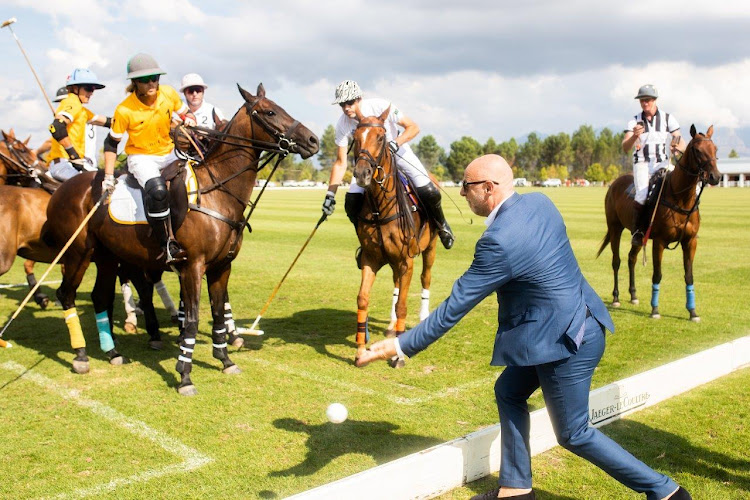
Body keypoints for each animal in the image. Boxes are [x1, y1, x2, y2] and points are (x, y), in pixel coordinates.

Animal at [43, 84, 320, 392]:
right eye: (270, 112)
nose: (313, 140)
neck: (218, 191)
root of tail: (60, 190)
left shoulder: (222, 267)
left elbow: (218, 313)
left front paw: (226, 360)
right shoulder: (192, 266)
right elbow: (192, 318)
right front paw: (185, 374)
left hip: (107, 256)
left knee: (100, 296)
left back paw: (112, 352)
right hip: (78, 253)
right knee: (66, 294)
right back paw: (81, 355)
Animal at [352, 108, 440, 368]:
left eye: (381, 137)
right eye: (355, 137)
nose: (362, 173)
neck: (381, 208)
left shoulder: (406, 261)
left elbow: (402, 304)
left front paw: (398, 355)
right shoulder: (371, 259)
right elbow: (363, 299)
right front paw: (360, 350)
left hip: (430, 248)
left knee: (425, 277)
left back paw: (422, 317)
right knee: (396, 283)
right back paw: (391, 326)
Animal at [600, 124, 724, 320]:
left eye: (715, 149)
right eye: (697, 150)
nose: (715, 176)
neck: (681, 199)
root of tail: (614, 182)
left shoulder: (690, 241)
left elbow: (689, 275)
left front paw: (692, 312)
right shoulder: (659, 241)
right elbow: (657, 274)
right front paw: (655, 310)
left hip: (638, 236)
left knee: (631, 258)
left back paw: (633, 295)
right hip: (614, 228)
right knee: (616, 260)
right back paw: (616, 298)